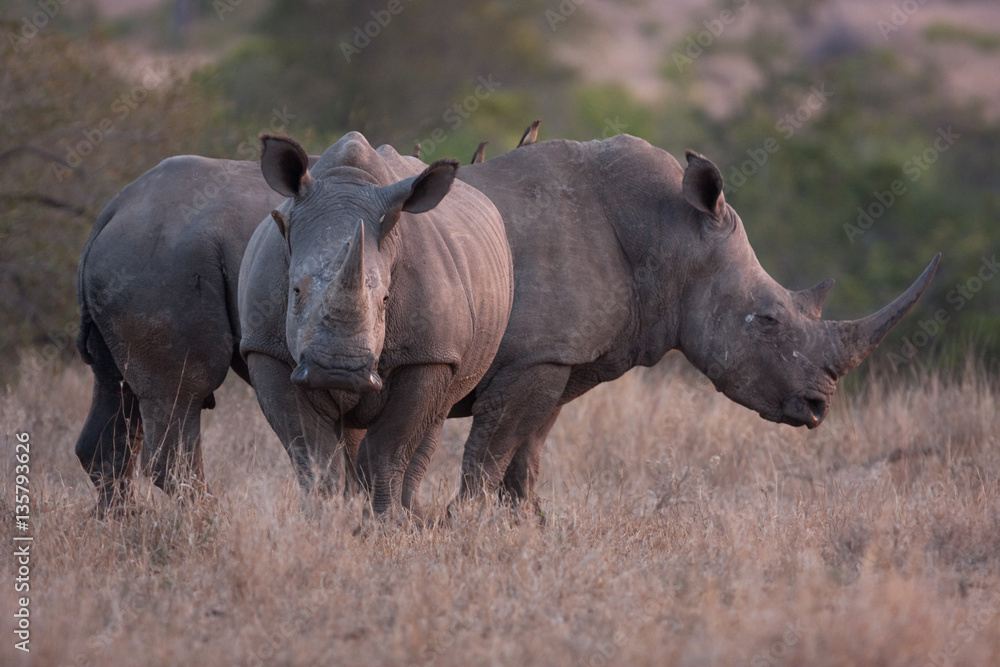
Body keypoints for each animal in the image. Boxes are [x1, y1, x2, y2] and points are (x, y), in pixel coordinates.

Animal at [237, 133, 513, 516]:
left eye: (385, 299)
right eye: (295, 291)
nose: (338, 370)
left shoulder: (427, 354)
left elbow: (388, 452)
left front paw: (384, 523)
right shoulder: (266, 348)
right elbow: (312, 455)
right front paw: (321, 521)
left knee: (433, 418)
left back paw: (410, 514)